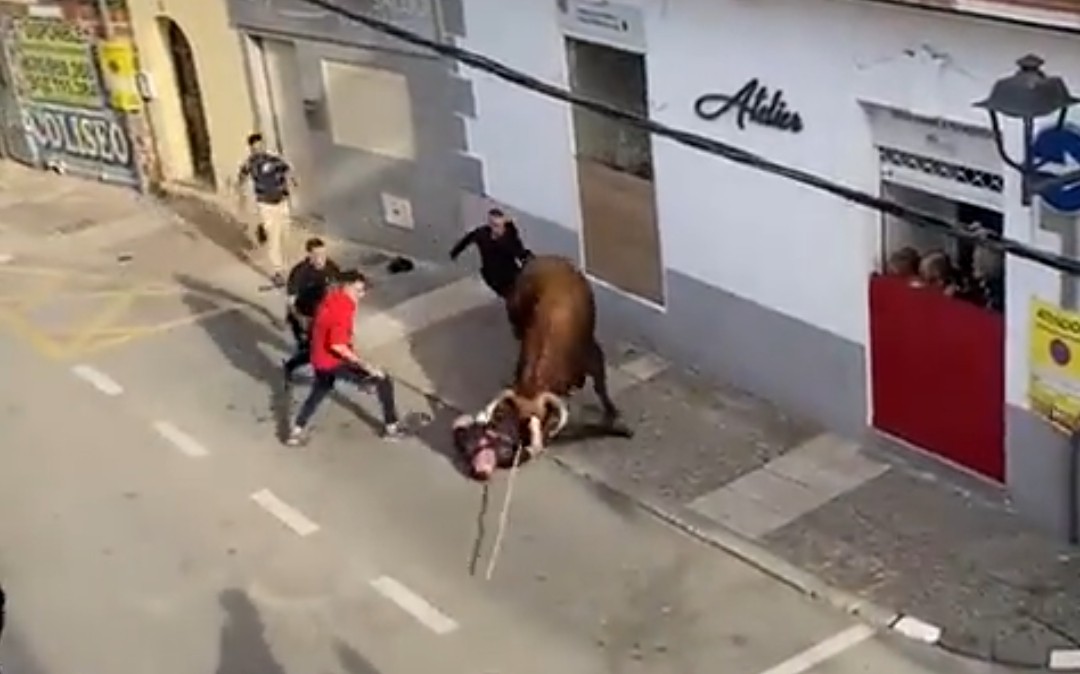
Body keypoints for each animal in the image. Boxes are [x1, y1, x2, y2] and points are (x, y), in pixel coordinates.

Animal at [477, 253, 622, 457]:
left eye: (540, 420)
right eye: (517, 423)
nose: (527, 448)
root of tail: (541, 258)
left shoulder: (594, 357)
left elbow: (600, 387)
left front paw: (613, 412)